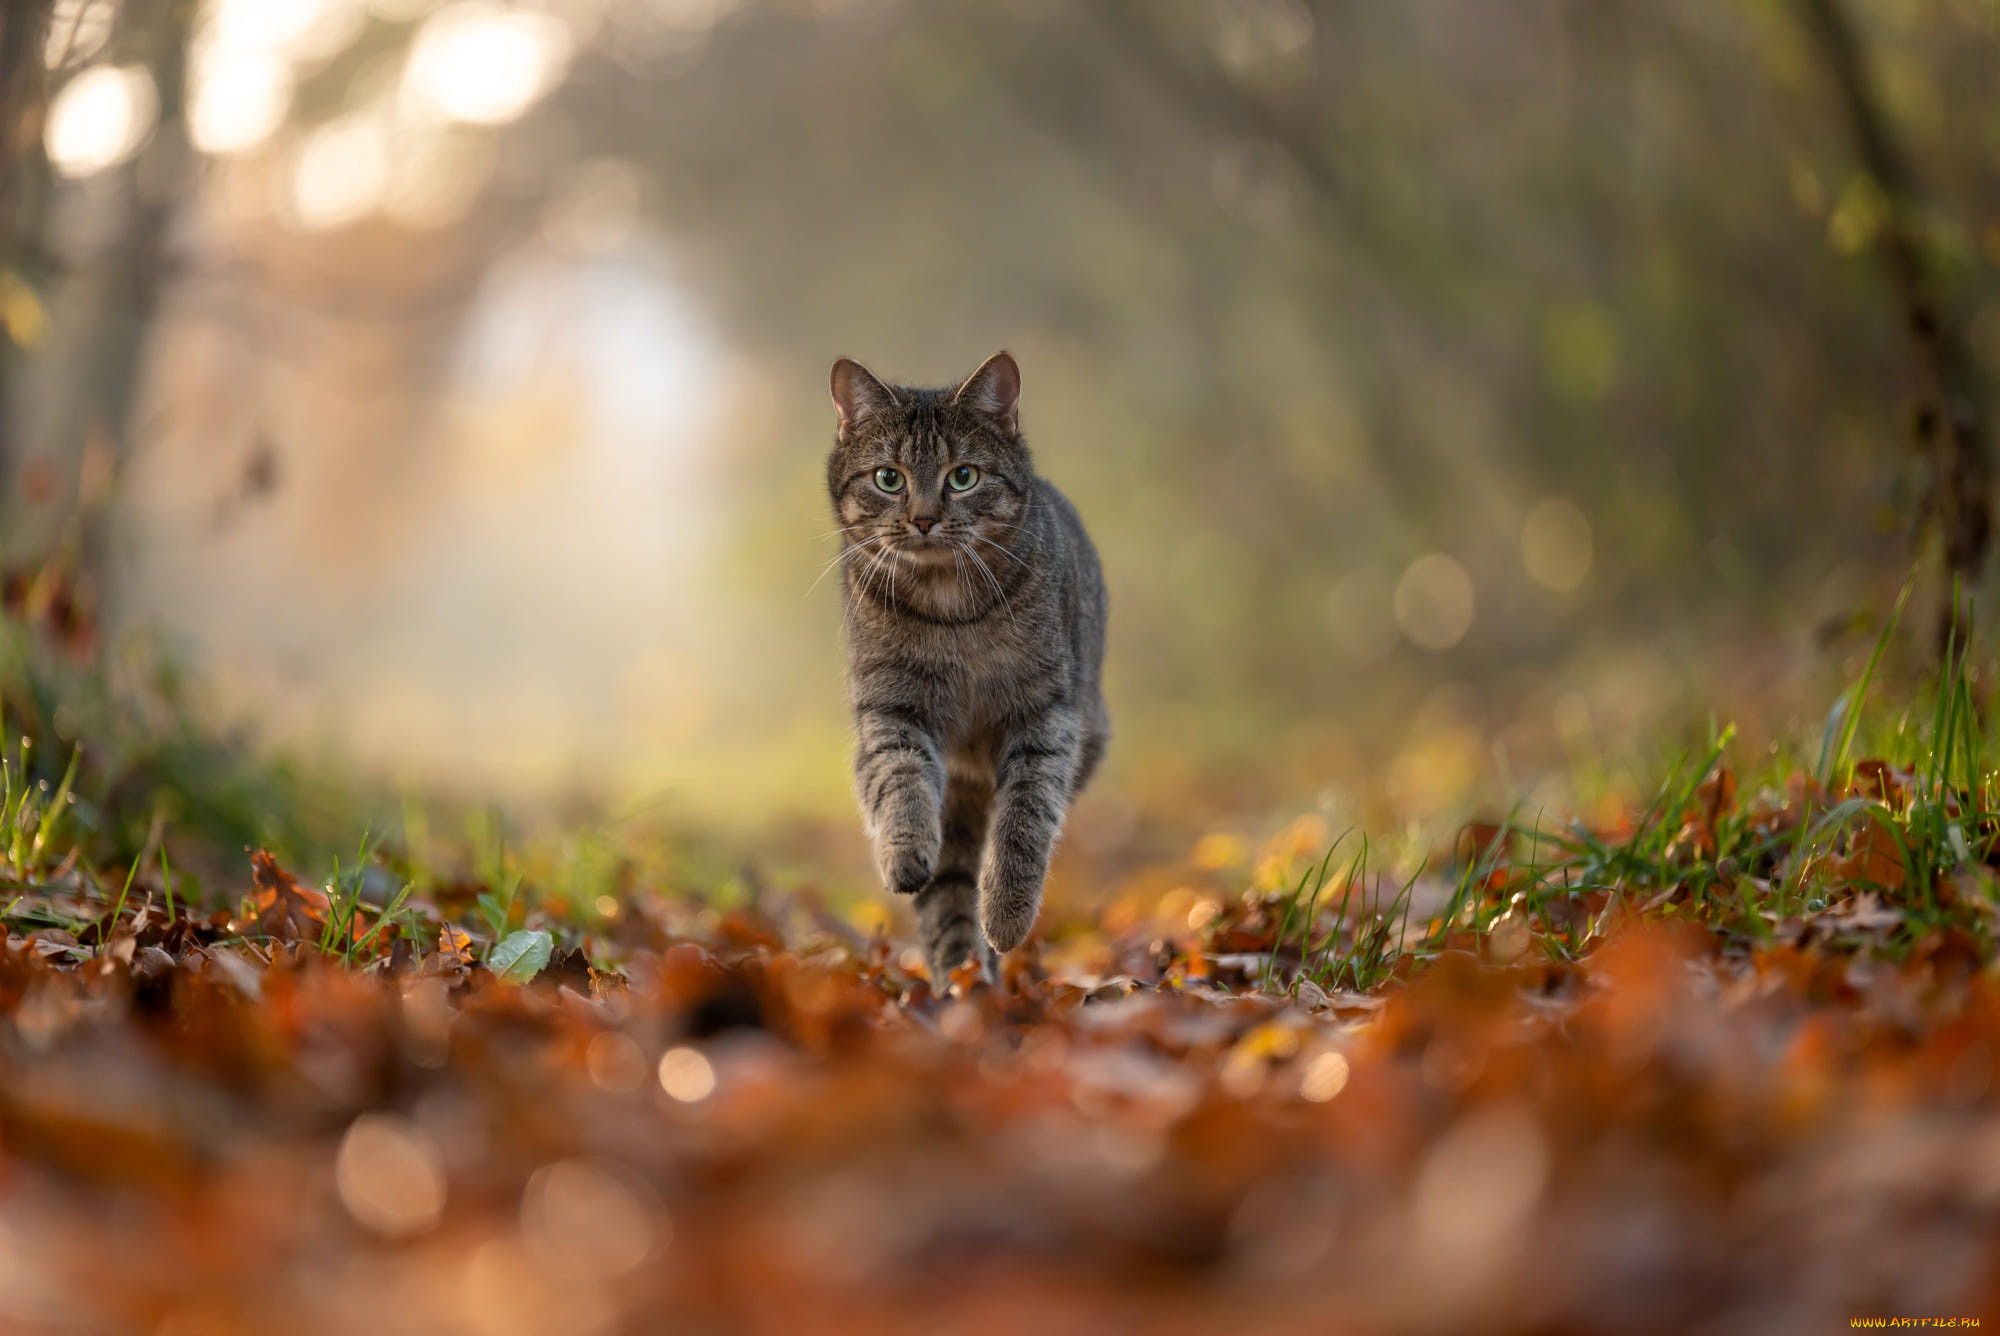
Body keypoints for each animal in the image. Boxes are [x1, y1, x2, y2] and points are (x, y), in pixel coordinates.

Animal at [824, 350, 1112, 988]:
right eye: (888, 478)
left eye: (963, 477)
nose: (924, 519)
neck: (950, 612)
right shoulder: (891, 711)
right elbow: (899, 781)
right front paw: (905, 852)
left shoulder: (1044, 717)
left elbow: (1025, 822)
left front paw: (1006, 913)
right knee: (948, 885)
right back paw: (961, 984)